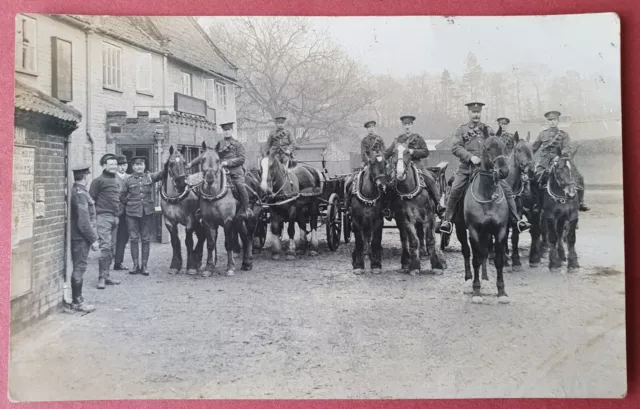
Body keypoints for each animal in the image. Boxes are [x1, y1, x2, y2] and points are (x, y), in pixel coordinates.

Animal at [160, 146, 208, 274]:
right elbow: (175, 241)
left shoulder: (190, 220)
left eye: (185, 162)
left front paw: (191, 266)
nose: (181, 183)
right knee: (202, 235)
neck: (174, 198)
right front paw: (175, 265)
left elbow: (188, 241)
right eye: (171, 163)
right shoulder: (169, 221)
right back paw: (198, 259)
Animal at [194, 139, 254, 276]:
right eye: (203, 159)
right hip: (238, 221)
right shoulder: (208, 222)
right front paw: (208, 268)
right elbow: (210, 244)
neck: (214, 195)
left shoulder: (228, 221)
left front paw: (230, 267)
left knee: (248, 236)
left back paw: (247, 262)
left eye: (218, 160)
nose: (210, 179)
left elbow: (228, 244)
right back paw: (246, 263)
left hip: (243, 219)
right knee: (245, 236)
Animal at [384, 143, 444, 274]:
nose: (400, 174)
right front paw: (415, 265)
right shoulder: (406, 219)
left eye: (407, 152)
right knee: (405, 238)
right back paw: (407, 260)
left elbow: (430, 239)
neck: (409, 191)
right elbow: (413, 240)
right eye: (393, 152)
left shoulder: (429, 217)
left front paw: (437, 265)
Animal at [452, 133, 512, 302]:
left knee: (485, 252)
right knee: (467, 252)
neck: (487, 194)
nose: (503, 171)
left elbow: (497, 260)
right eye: (488, 148)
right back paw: (468, 282)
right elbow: (475, 259)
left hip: (487, 232)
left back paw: (485, 280)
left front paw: (502, 292)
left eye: (504, 146)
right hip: (460, 229)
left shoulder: (499, 231)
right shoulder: (474, 231)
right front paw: (476, 291)